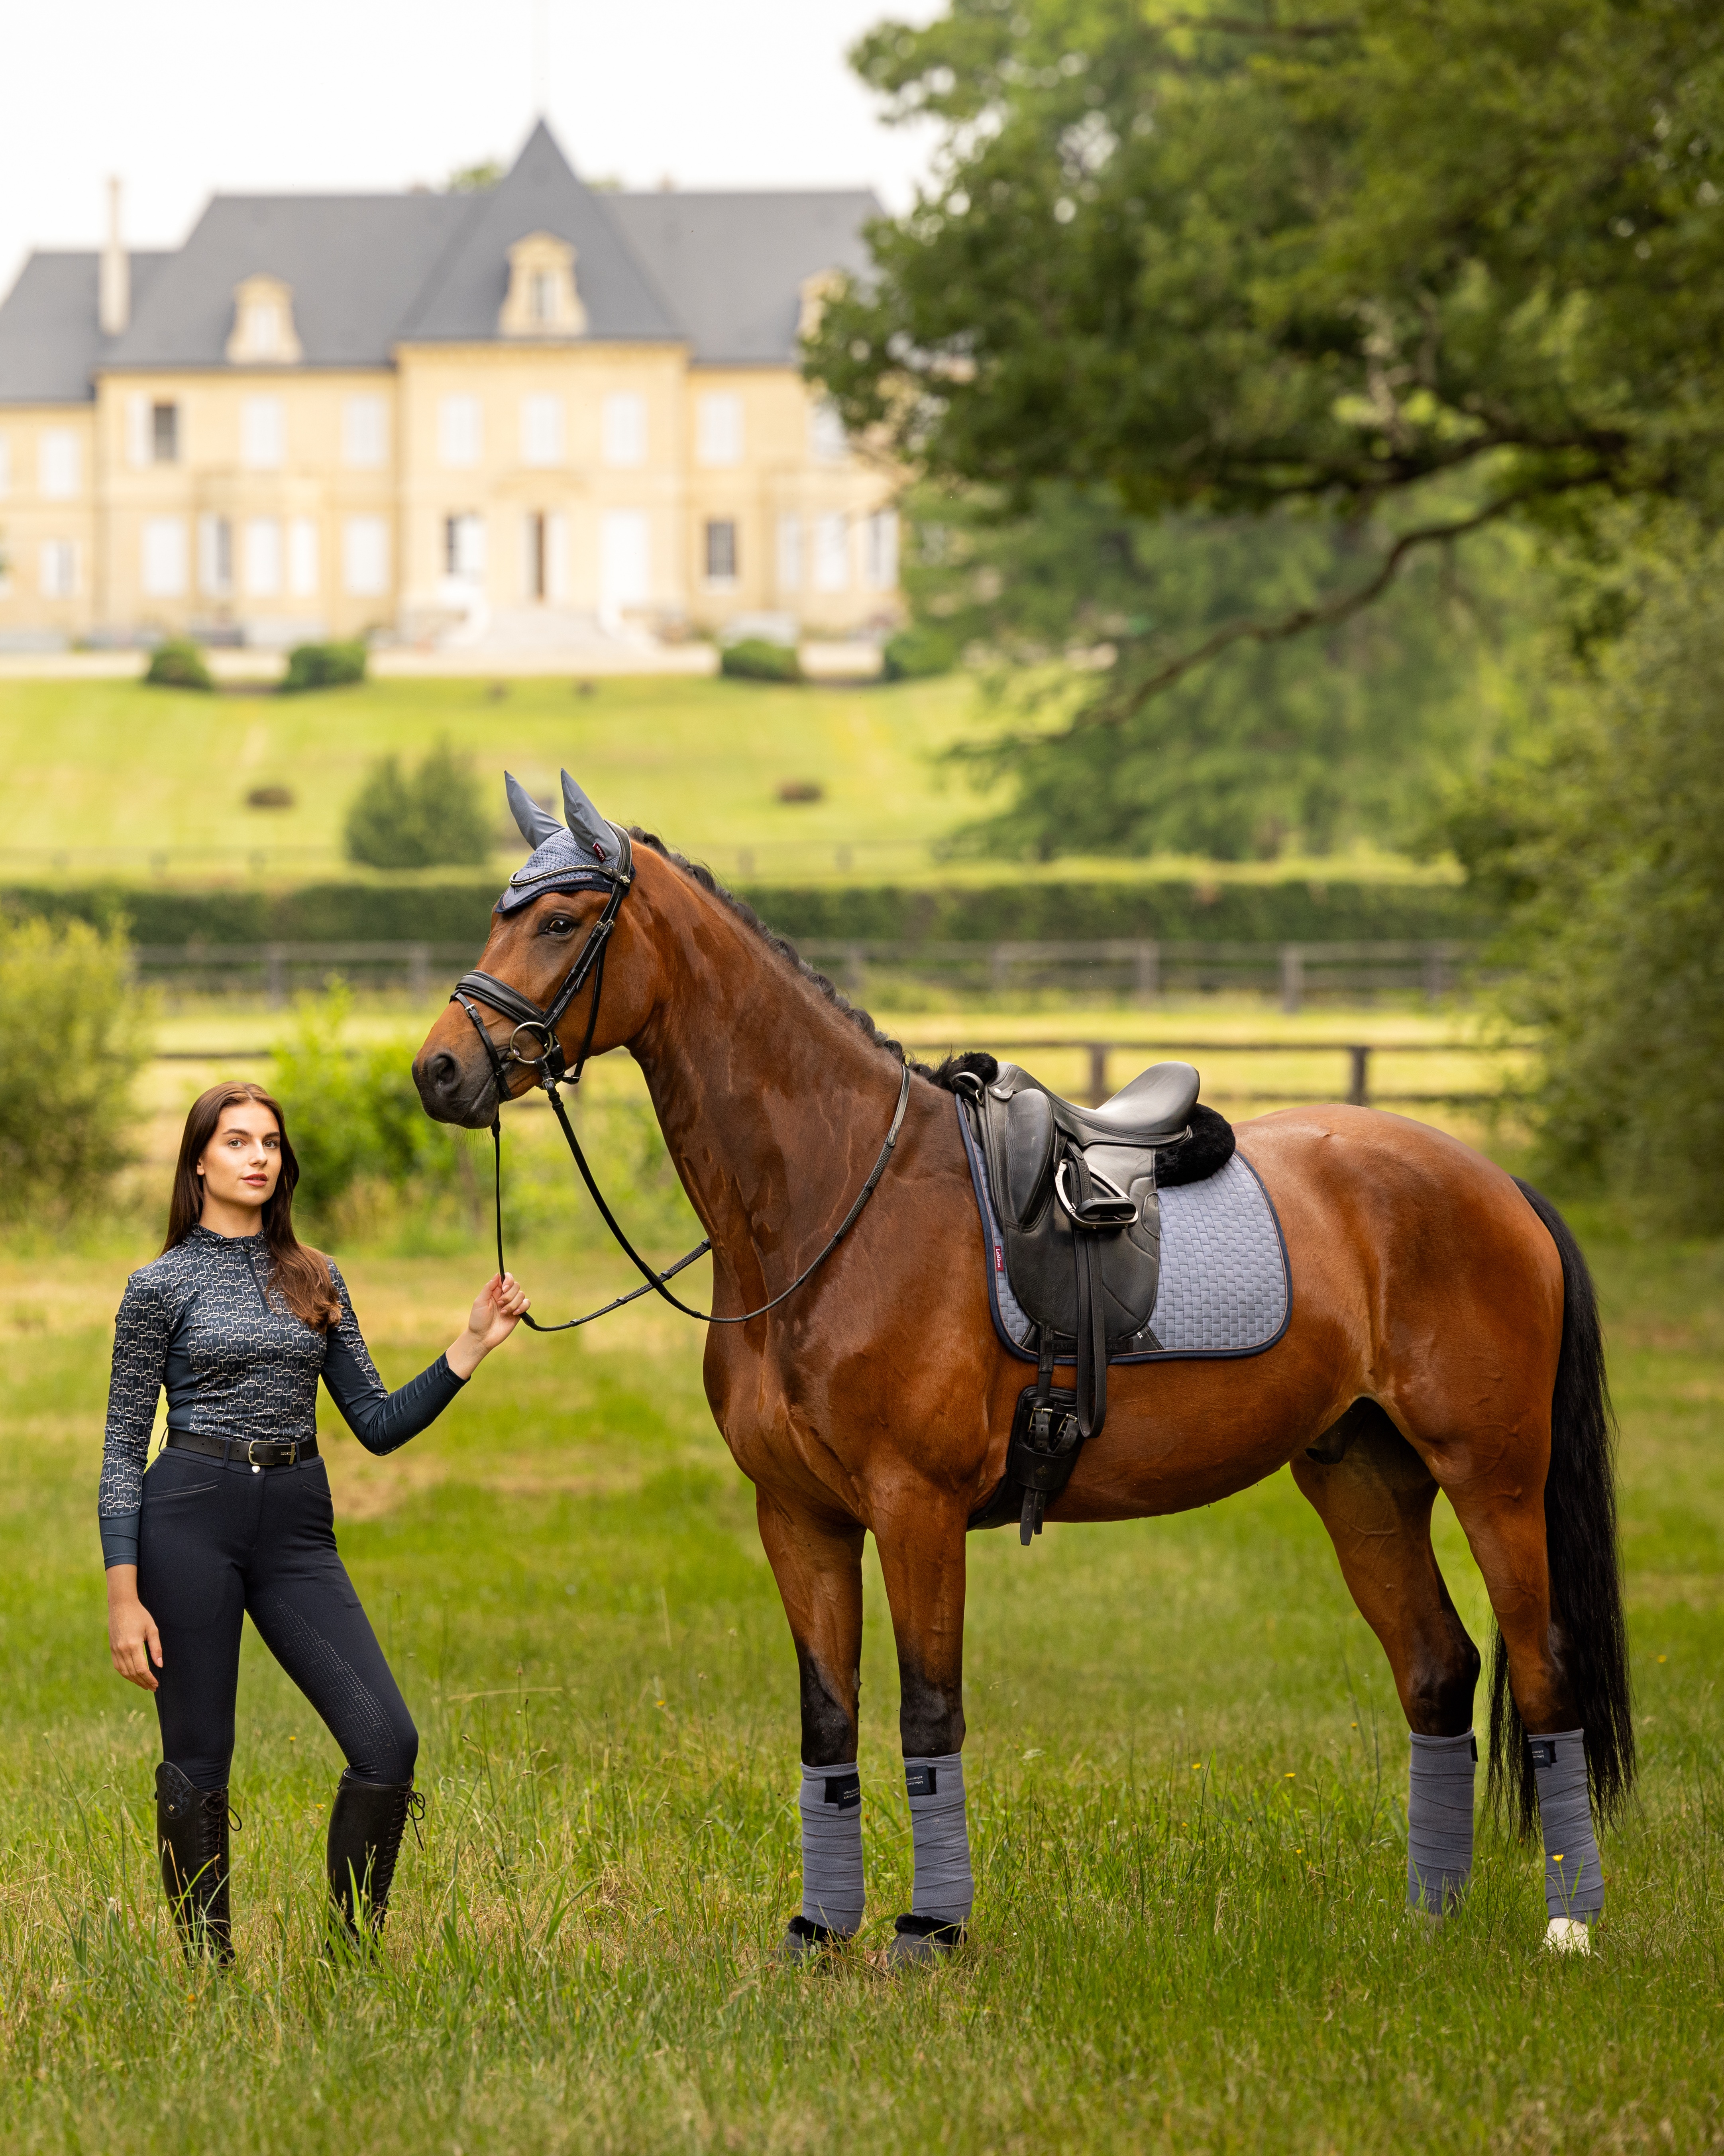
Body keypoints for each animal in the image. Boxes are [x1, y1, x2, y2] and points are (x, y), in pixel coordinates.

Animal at [418, 802, 1631, 1966]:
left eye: (560, 921)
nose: (437, 1071)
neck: (836, 1202)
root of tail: (1494, 1182)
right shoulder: (799, 1517)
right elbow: (827, 1718)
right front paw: (820, 1929)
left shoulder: (915, 1508)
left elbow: (927, 1712)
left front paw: (928, 1931)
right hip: (1362, 1481)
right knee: (1437, 1669)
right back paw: (1428, 1921)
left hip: (1493, 1479)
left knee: (1542, 1668)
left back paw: (1568, 1926)